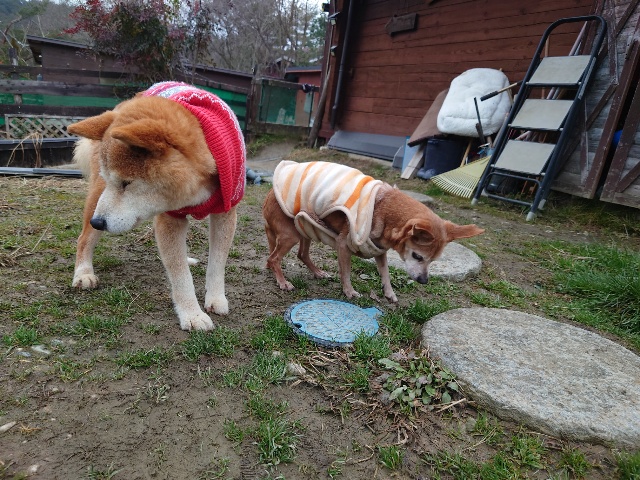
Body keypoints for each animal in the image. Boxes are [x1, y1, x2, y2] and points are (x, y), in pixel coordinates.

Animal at [67, 82, 246, 331]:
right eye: (117, 182)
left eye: (126, 183)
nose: (98, 222)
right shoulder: (169, 217)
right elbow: (180, 276)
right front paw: (192, 314)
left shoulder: (226, 212)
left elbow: (217, 263)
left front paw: (216, 298)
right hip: (97, 197)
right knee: (84, 238)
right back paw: (83, 273)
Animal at [263, 161, 484, 302]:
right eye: (417, 256)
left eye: (434, 261)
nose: (424, 281)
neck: (383, 207)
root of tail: (269, 195)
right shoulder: (344, 246)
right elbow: (346, 272)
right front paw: (349, 291)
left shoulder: (380, 251)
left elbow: (385, 273)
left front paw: (389, 293)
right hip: (291, 234)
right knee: (274, 258)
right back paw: (283, 282)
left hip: (303, 226)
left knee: (301, 254)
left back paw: (317, 272)